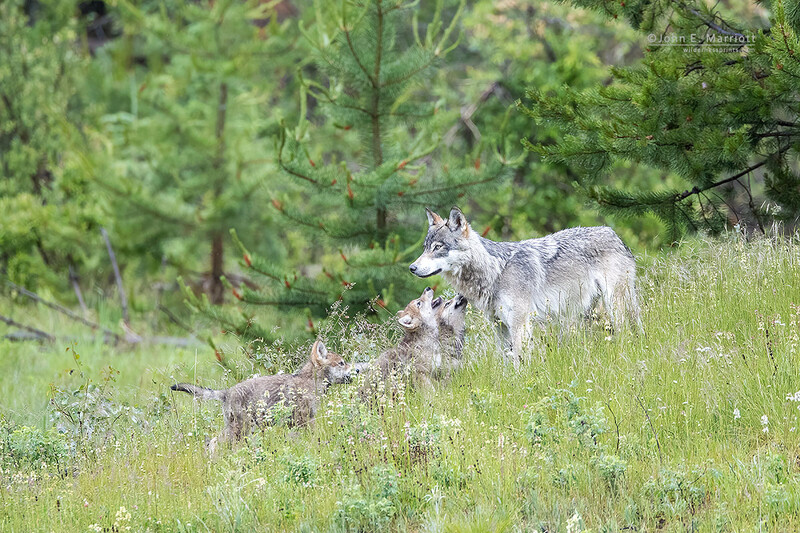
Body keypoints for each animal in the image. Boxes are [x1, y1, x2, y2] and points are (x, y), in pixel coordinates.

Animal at [171, 340, 353, 449]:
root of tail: (227, 391)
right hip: (242, 429)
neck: (310, 382)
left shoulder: (294, 423)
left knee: (215, 442)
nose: (356, 370)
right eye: (341, 363)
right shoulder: (305, 419)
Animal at [409, 207, 641, 365]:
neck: (496, 271)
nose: (412, 267)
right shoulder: (499, 327)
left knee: (625, 333)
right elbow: (505, 362)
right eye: (425, 248)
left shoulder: (520, 324)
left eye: (438, 247)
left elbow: (518, 361)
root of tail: (613, 233)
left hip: (614, 305)